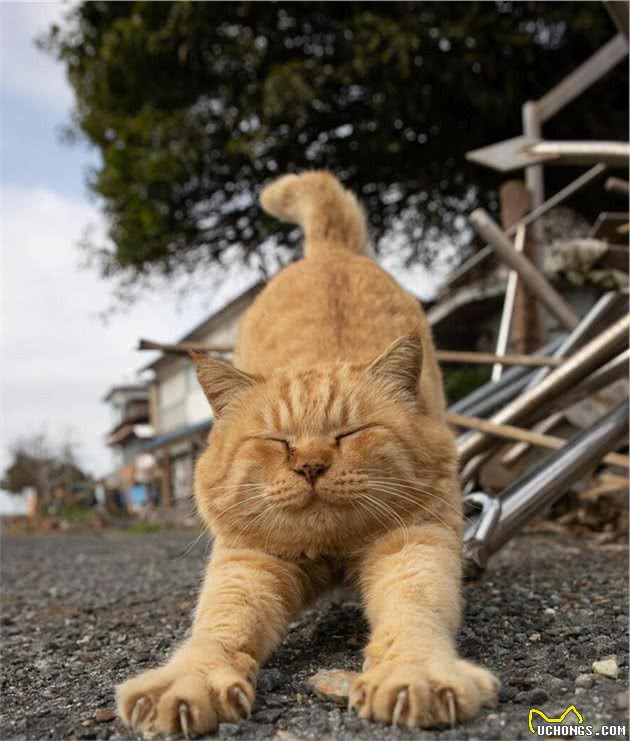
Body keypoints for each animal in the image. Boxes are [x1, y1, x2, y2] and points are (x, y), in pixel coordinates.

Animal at [115, 173, 498, 736]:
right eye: (278, 441)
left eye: (348, 433)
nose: (311, 466)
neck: (331, 548)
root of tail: (329, 250)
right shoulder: (248, 560)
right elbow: (219, 626)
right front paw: (189, 681)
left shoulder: (414, 542)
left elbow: (415, 613)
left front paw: (415, 675)